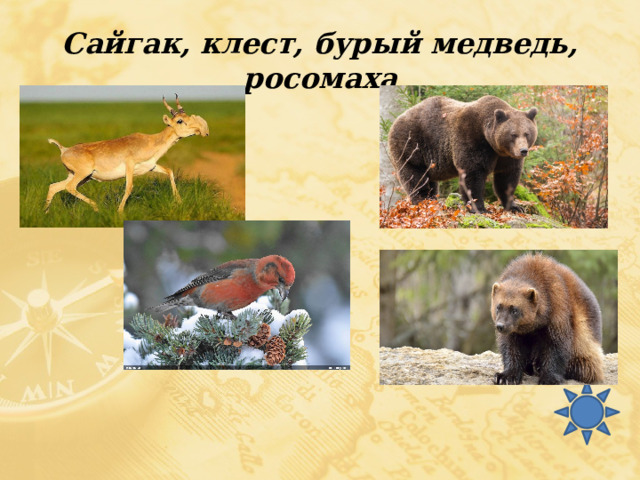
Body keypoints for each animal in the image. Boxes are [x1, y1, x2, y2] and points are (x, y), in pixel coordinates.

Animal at [387, 95, 538, 212]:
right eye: (513, 134)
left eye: (527, 133)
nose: (523, 150)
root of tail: (396, 120)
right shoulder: (471, 138)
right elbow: (473, 173)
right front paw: (479, 208)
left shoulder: (506, 156)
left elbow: (507, 177)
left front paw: (515, 206)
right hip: (411, 145)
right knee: (415, 175)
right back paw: (422, 201)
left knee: (430, 180)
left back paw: (432, 199)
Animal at [491, 253, 604, 385]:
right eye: (498, 307)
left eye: (514, 310)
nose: (500, 326)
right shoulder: (514, 330)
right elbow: (511, 346)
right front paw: (506, 376)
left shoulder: (557, 305)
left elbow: (556, 344)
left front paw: (549, 378)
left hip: (585, 342)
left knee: (583, 364)